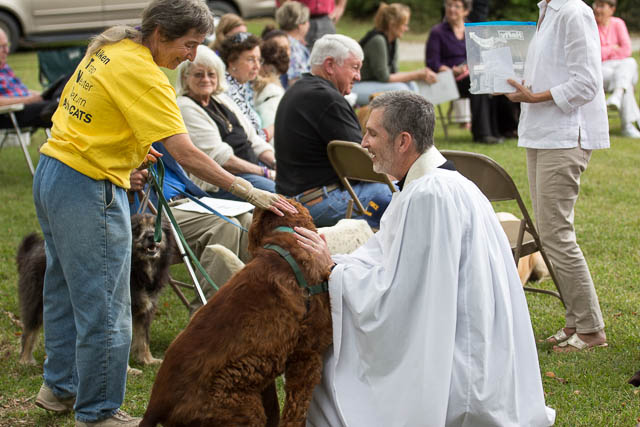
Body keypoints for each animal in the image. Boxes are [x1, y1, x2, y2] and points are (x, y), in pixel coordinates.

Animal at [142, 202, 332, 427]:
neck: (286, 239)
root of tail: (155, 406)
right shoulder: (307, 356)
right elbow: (295, 412)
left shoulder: (264, 372)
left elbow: (276, 410)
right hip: (241, 408)